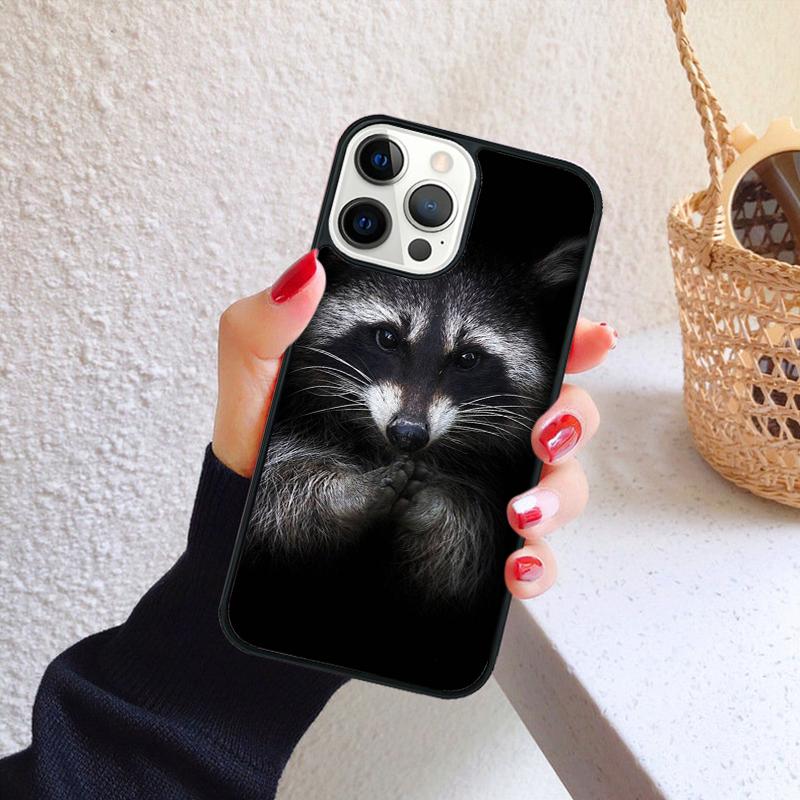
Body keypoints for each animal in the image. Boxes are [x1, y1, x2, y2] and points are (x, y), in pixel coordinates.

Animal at [246, 240, 585, 605]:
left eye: (467, 358)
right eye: (387, 338)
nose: (407, 434)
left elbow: (470, 550)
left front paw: (436, 511)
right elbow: (279, 483)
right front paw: (345, 494)